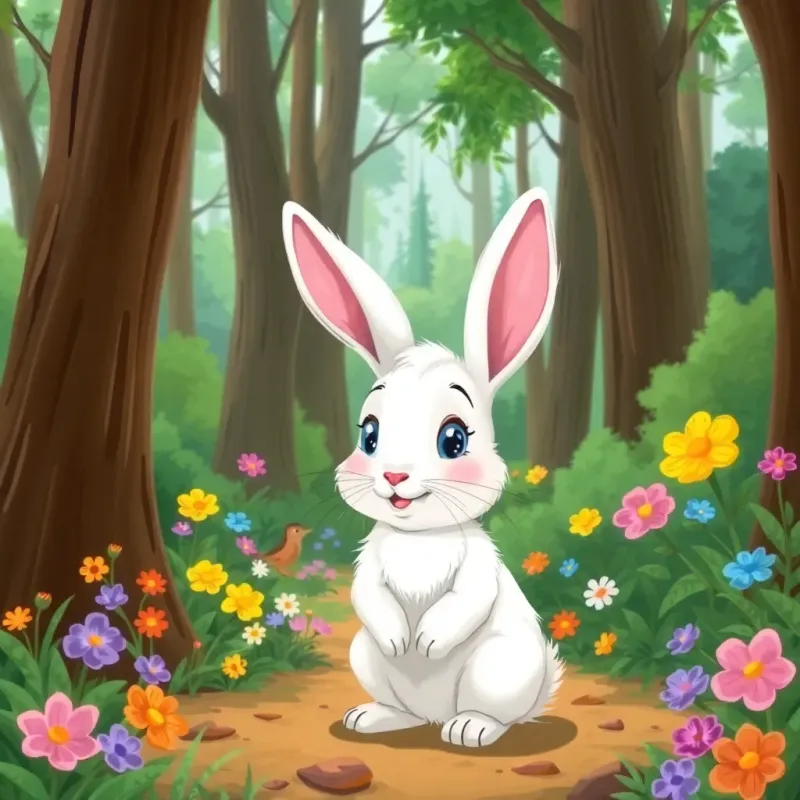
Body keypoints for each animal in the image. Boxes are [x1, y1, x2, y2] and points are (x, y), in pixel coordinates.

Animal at [281, 187, 564, 748]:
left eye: (453, 439)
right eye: (369, 433)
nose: (394, 476)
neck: (419, 540)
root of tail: (435, 714)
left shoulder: (479, 567)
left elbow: (468, 598)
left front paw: (428, 640)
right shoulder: (370, 562)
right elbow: (367, 594)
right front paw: (401, 639)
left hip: (499, 670)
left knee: (494, 716)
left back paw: (471, 729)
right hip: (365, 657)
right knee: (402, 709)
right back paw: (372, 718)